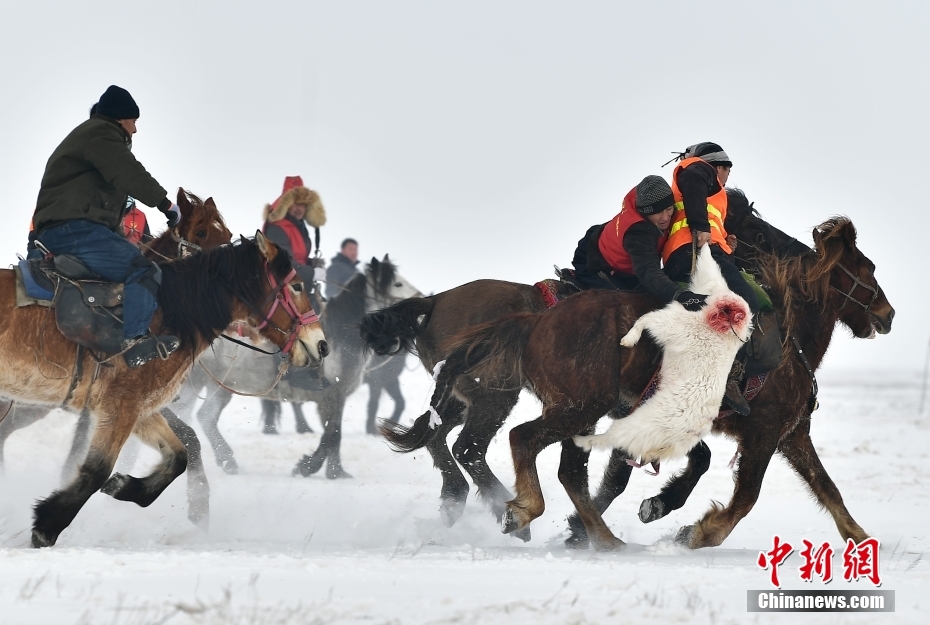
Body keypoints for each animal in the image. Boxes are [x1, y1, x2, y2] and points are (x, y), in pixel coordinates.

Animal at [0, 230, 326, 544]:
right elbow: (97, 470)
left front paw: (125, 487)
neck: (171, 313)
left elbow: (178, 456)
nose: (322, 344)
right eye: (297, 286)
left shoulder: (139, 409)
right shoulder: (121, 405)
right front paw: (48, 524)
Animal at [175, 256, 420, 476]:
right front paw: (312, 467)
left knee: (203, 417)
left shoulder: (337, 396)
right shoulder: (331, 395)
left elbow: (333, 434)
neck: (339, 335)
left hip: (217, 386)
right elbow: (333, 434)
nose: (420, 299)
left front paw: (333, 470)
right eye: (397, 283)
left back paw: (226, 461)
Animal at [428, 217, 892, 548]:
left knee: (562, 470)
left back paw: (600, 537)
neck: (788, 338)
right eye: (866, 268)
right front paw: (698, 532)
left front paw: (861, 539)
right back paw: (527, 513)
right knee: (518, 441)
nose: (887, 315)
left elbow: (827, 488)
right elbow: (746, 495)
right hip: (577, 407)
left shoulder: (791, 434)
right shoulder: (763, 433)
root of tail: (536, 321)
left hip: (577, 410)